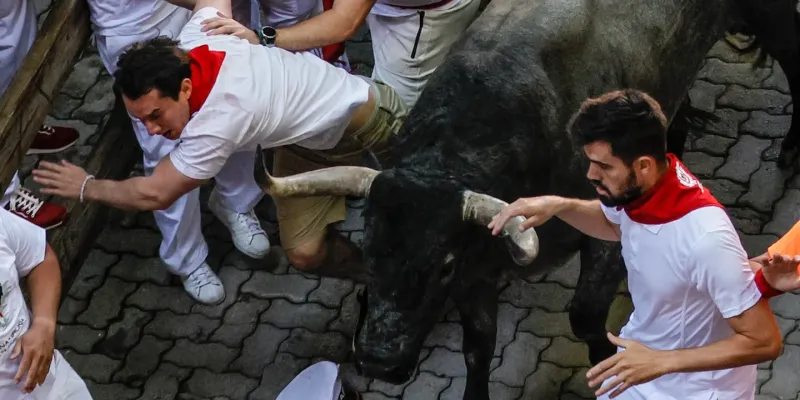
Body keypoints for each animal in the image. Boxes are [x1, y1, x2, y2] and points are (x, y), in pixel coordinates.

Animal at [258, 0, 800, 398]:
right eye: (368, 251)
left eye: (442, 265)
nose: (378, 359)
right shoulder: (480, 272)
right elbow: (478, 346)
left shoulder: (603, 237)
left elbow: (586, 316)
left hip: (774, 14)